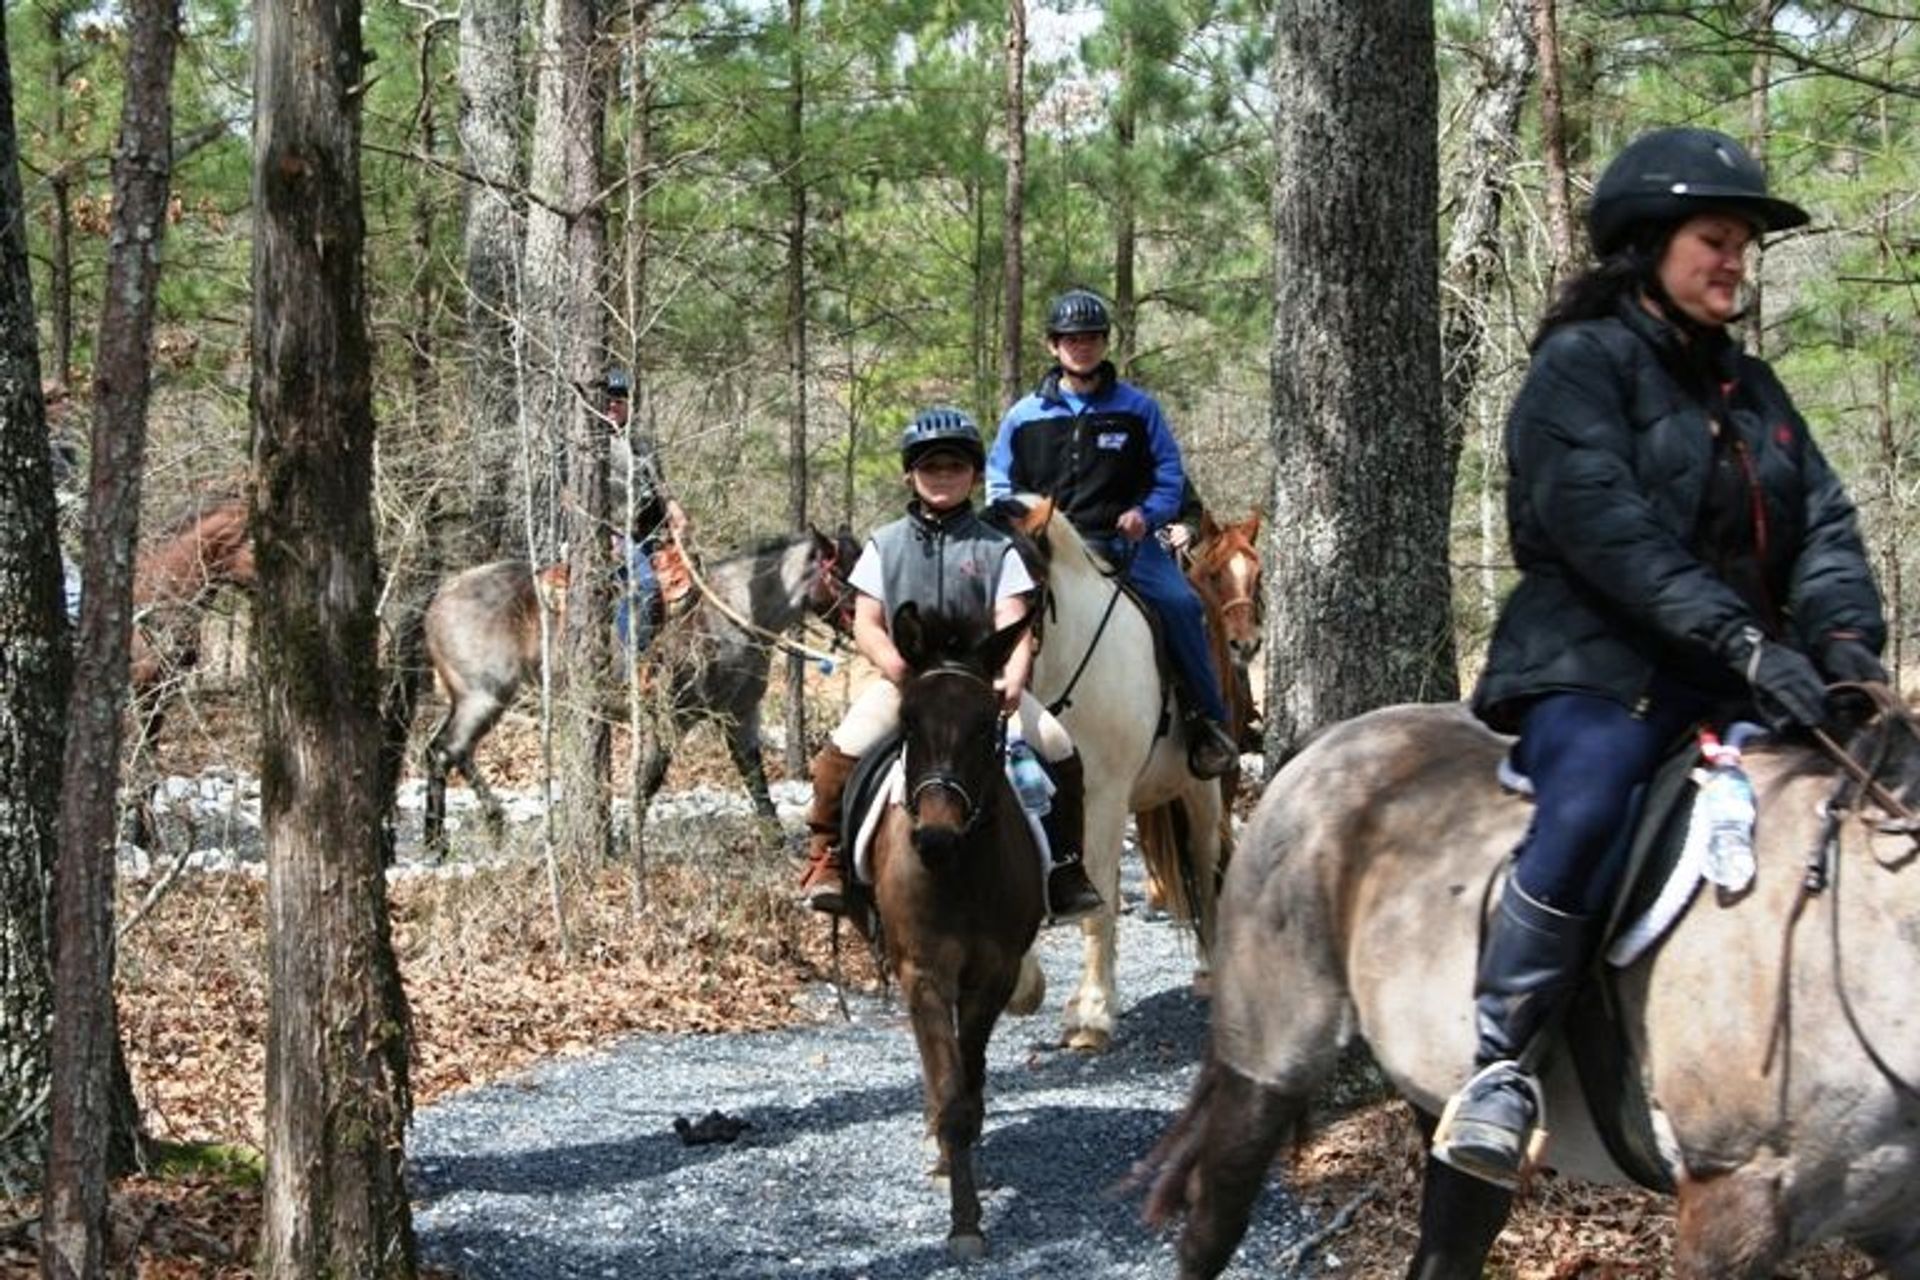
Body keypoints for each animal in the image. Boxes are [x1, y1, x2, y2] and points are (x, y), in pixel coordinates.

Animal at [424, 525, 852, 855]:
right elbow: (650, 778)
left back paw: (469, 829)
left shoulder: (740, 714)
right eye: (842, 573)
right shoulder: (672, 717)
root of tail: (439, 597)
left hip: (472, 700)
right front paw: (629, 840)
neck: (732, 612)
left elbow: (754, 776)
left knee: (446, 751)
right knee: (447, 751)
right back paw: (446, 839)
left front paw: (776, 840)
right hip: (484, 697)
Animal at [848, 602, 1044, 1258]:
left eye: (987, 725)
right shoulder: (925, 971)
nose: (934, 837)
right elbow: (949, 1081)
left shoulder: (994, 972)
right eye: (909, 721)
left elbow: (969, 1079)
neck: (959, 871)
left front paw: (967, 1213)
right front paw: (963, 1215)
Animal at [990, 495, 1228, 1051]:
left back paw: (1208, 972)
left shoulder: (1102, 796)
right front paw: (1025, 988)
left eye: (1021, 596)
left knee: (1203, 862)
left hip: (1200, 789)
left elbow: (1096, 894)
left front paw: (1092, 1015)